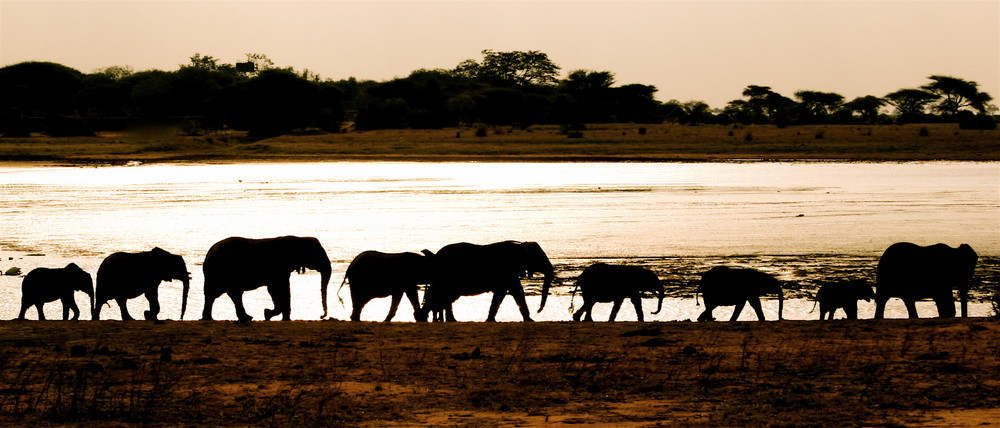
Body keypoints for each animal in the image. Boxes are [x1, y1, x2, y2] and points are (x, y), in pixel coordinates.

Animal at [202, 236, 331, 322]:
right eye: (317, 254)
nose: (321, 316)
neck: (299, 239)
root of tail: (208, 254)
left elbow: (276, 289)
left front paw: (275, 316)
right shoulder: (279, 266)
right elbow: (278, 288)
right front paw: (268, 314)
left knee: (224, 294)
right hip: (222, 271)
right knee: (226, 293)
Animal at [421, 241, 554, 322]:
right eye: (539, 258)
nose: (538, 311)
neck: (520, 246)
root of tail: (435, 255)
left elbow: (512, 291)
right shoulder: (506, 270)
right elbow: (508, 291)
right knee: (443, 295)